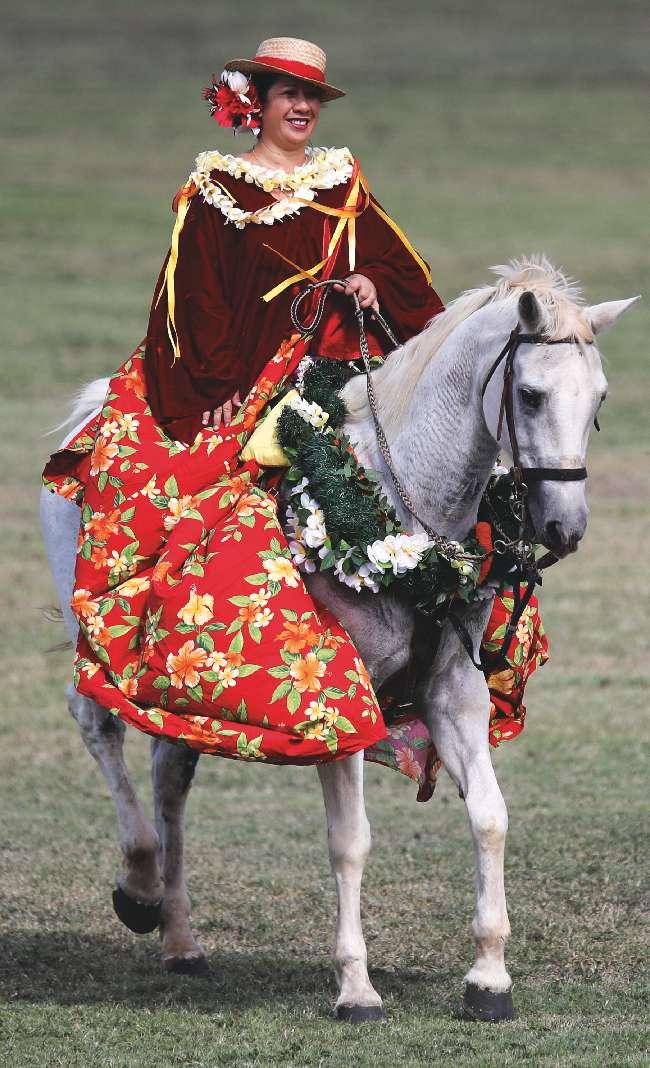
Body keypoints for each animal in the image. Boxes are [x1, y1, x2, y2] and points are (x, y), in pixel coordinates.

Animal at [40, 257, 638, 1022]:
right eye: (530, 396)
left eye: (599, 397)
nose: (565, 528)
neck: (403, 502)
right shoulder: (344, 699)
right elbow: (351, 842)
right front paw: (356, 987)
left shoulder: (455, 695)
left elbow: (490, 818)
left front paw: (488, 979)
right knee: (97, 723)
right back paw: (140, 886)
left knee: (170, 775)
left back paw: (179, 938)